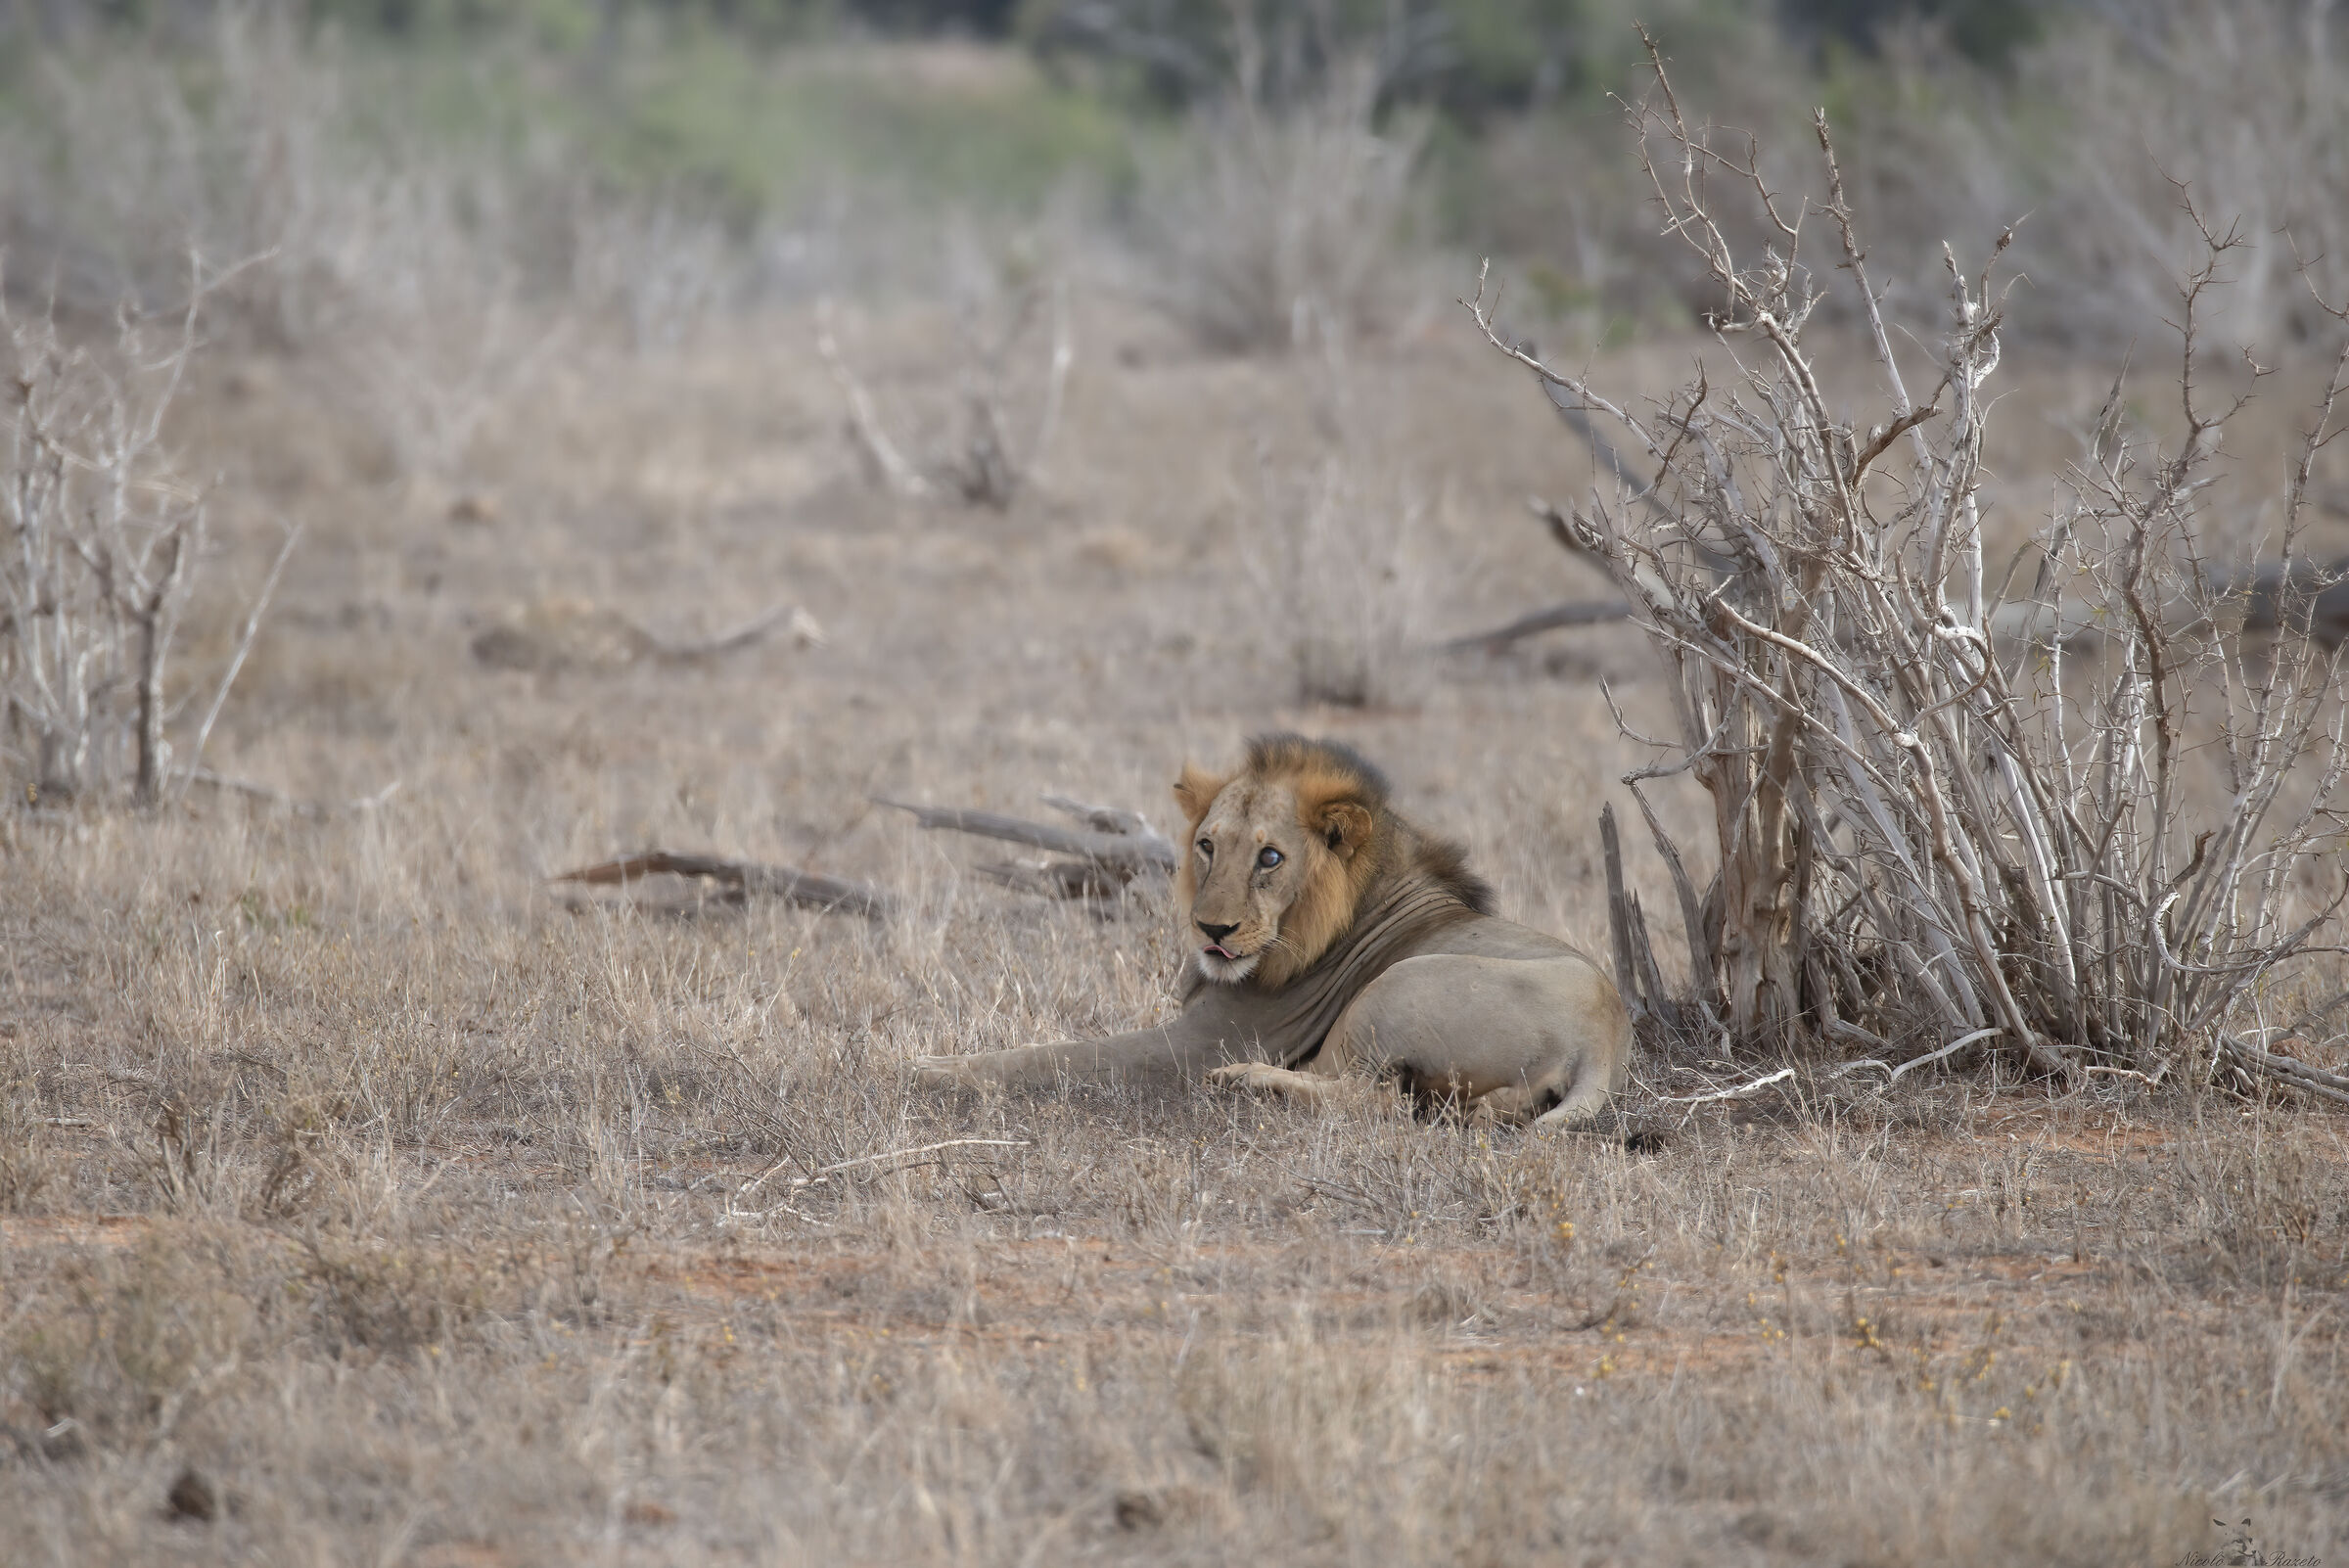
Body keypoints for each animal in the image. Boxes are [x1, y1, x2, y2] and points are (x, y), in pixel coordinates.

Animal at [913, 734, 1630, 1127]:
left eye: (1270, 857)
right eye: (1207, 845)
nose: (1212, 929)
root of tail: (1601, 1040)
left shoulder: (1199, 1044)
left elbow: (1053, 1055)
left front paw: (926, 1068)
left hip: (1394, 991)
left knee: (1376, 1101)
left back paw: (1247, 1083)